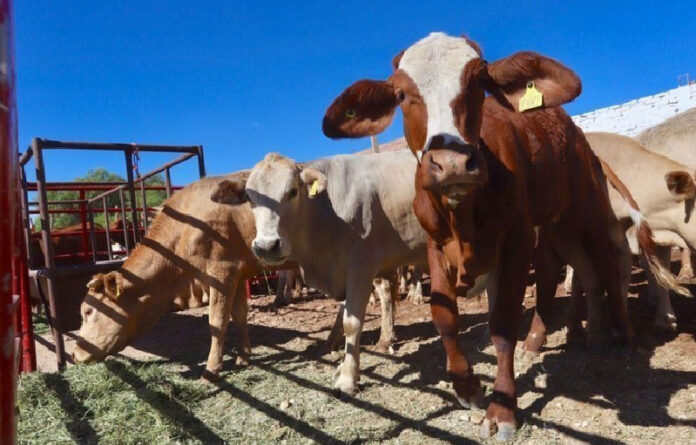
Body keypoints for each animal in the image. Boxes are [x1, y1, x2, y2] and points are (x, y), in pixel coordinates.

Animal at [218, 151, 426, 394]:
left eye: (292, 191)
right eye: (251, 198)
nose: (267, 246)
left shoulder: (361, 267)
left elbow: (351, 323)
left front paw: (347, 379)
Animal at [324, 33, 672, 438]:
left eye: (479, 81)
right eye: (400, 94)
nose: (452, 164)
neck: (464, 216)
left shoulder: (515, 242)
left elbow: (503, 324)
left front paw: (502, 408)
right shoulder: (435, 245)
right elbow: (444, 315)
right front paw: (467, 387)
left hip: (587, 211)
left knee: (605, 261)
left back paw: (623, 335)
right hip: (552, 226)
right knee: (558, 270)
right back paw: (547, 340)